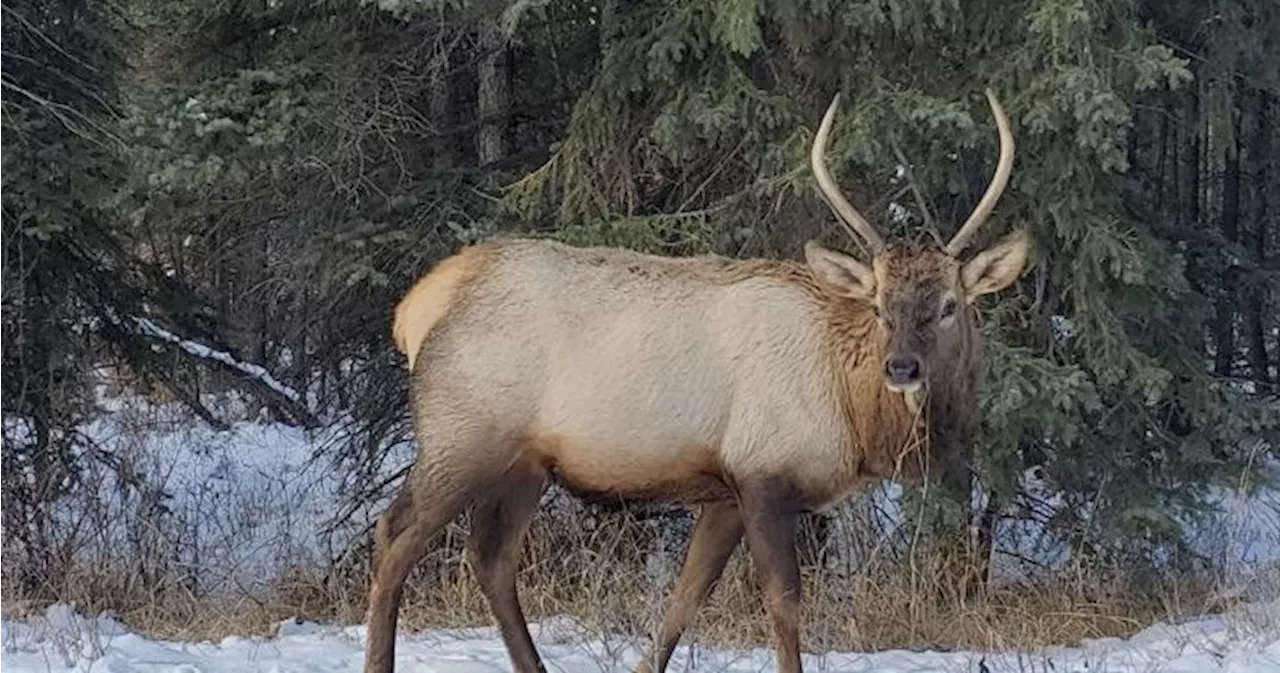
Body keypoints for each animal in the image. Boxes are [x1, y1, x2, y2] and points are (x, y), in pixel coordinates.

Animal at [363, 87, 1029, 673]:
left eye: (948, 305)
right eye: (880, 306)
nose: (902, 367)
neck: (852, 415)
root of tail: (416, 308)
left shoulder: (725, 492)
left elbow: (686, 597)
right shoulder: (763, 472)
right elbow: (783, 604)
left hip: (524, 462)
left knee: (491, 556)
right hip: (460, 435)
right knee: (395, 534)